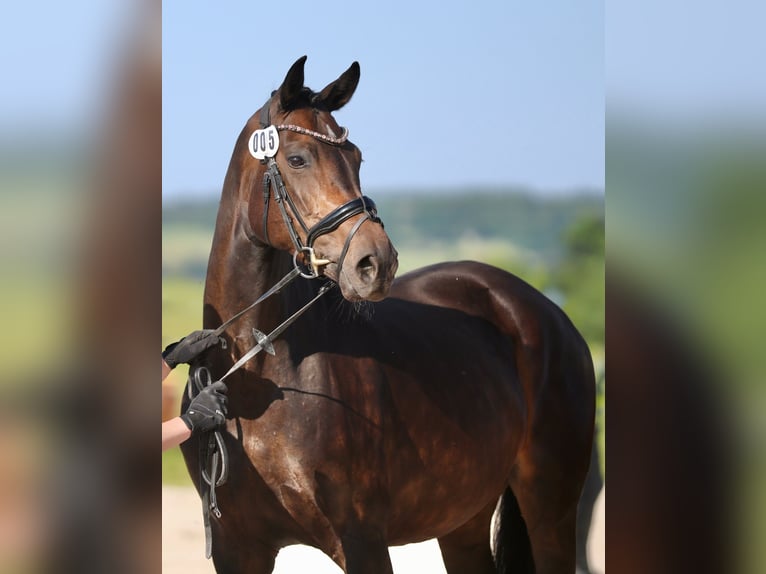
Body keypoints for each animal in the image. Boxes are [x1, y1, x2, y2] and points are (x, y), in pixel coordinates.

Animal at [180, 55, 596, 574]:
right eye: (297, 159)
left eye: (356, 158)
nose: (375, 263)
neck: (255, 367)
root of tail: (547, 314)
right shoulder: (237, 549)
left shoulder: (362, 541)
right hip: (464, 520)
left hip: (550, 511)